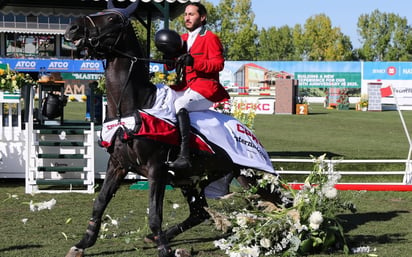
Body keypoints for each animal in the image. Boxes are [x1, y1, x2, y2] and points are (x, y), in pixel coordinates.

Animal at [65, 2, 284, 256]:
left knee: (283, 201)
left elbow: (154, 214)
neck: (134, 106)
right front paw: (82, 244)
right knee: (199, 212)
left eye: (111, 19)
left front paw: (163, 249)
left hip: (253, 179)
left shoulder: (156, 169)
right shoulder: (118, 165)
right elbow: (99, 203)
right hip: (193, 180)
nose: (72, 28)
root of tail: (251, 135)